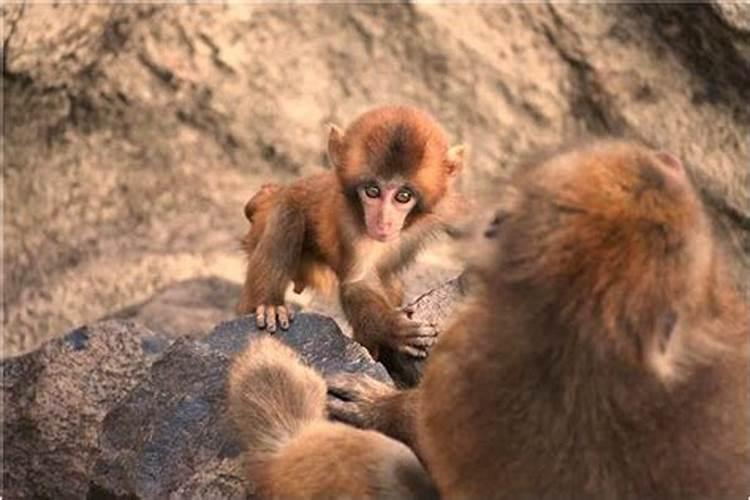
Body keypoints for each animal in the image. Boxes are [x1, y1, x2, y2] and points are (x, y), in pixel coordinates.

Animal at [238, 105, 468, 386]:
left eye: (403, 196)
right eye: (372, 191)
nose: (383, 221)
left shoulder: (448, 204)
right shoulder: (352, 222)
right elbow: (359, 282)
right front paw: (392, 327)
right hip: (264, 221)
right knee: (287, 212)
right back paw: (269, 304)